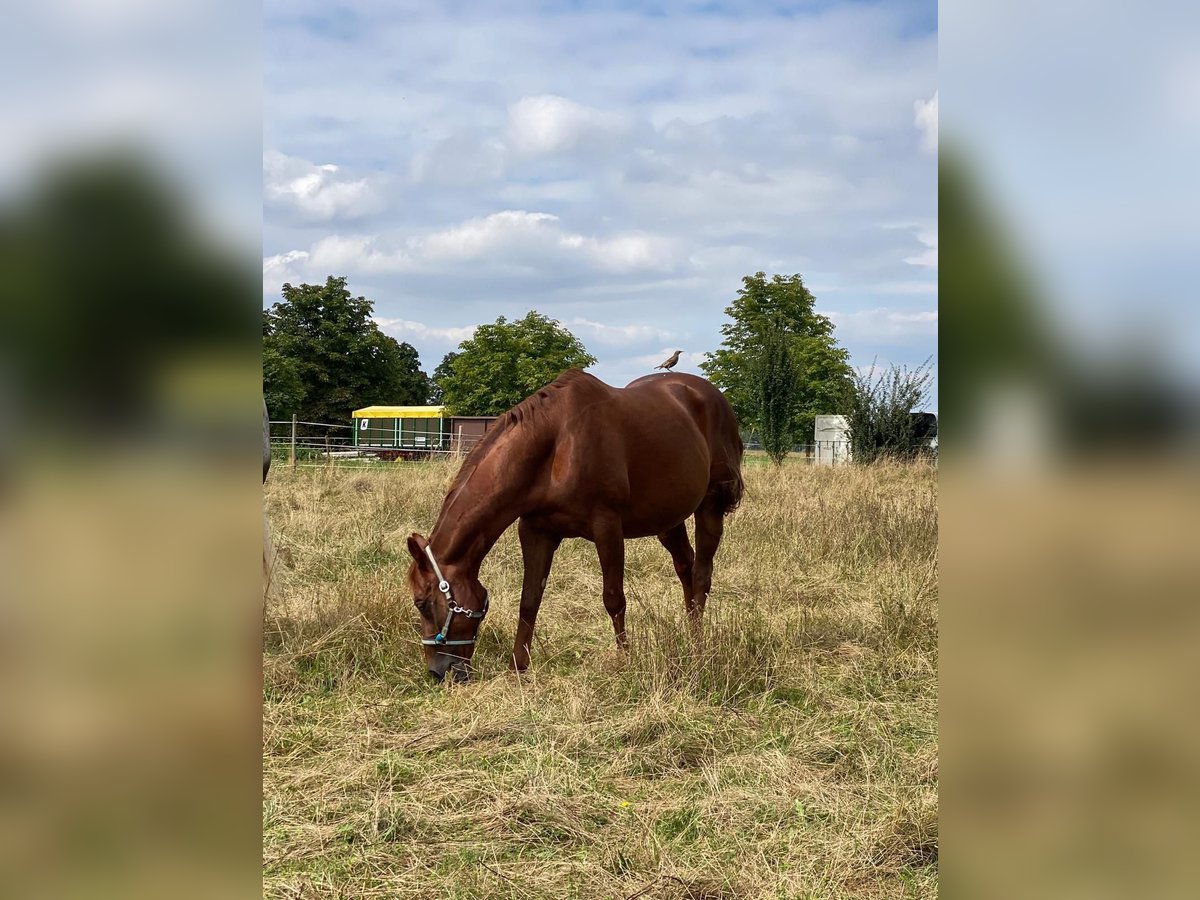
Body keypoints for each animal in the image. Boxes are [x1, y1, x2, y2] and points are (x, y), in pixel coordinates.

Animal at [405, 367, 739, 681]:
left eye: (421, 603)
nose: (438, 672)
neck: (558, 445)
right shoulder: (536, 531)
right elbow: (529, 600)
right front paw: (518, 668)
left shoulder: (607, 527)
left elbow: (614, 599)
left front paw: (625, 661)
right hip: (668, 520)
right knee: (685, 568)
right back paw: (690, 637)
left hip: (710, 506)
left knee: (701, 574)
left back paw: (698, 648)